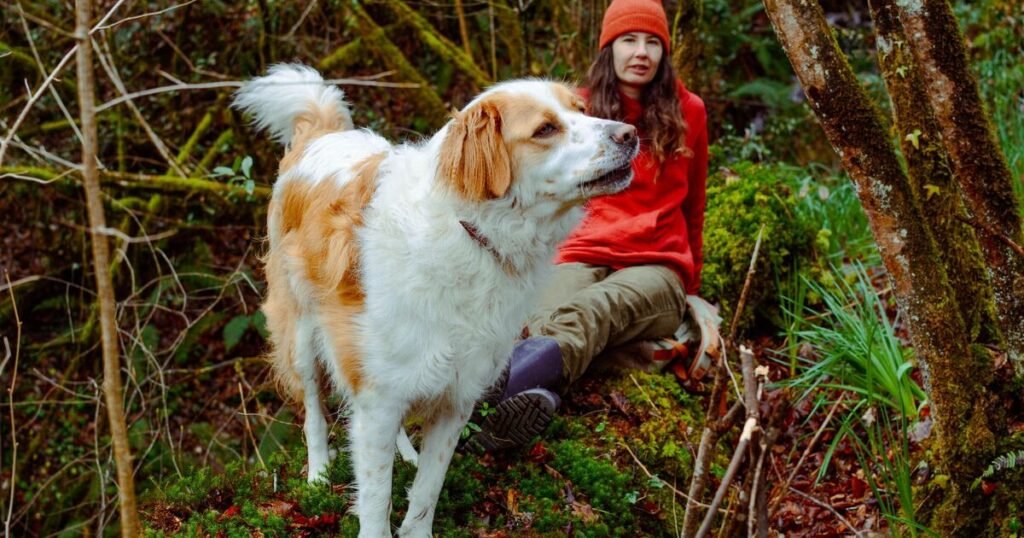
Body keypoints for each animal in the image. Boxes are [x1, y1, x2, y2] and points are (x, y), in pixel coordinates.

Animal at [233, 64, 638, 537]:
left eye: (582, 111)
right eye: (545, 129)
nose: (630, 133)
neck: (472, 233)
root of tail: (324, 136)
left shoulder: (455, 396)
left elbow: (426, 492)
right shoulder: (378, 396)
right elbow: (376, 499)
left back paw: (404, 453)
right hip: (301, 335)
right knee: (313, 408)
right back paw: (317, 475)